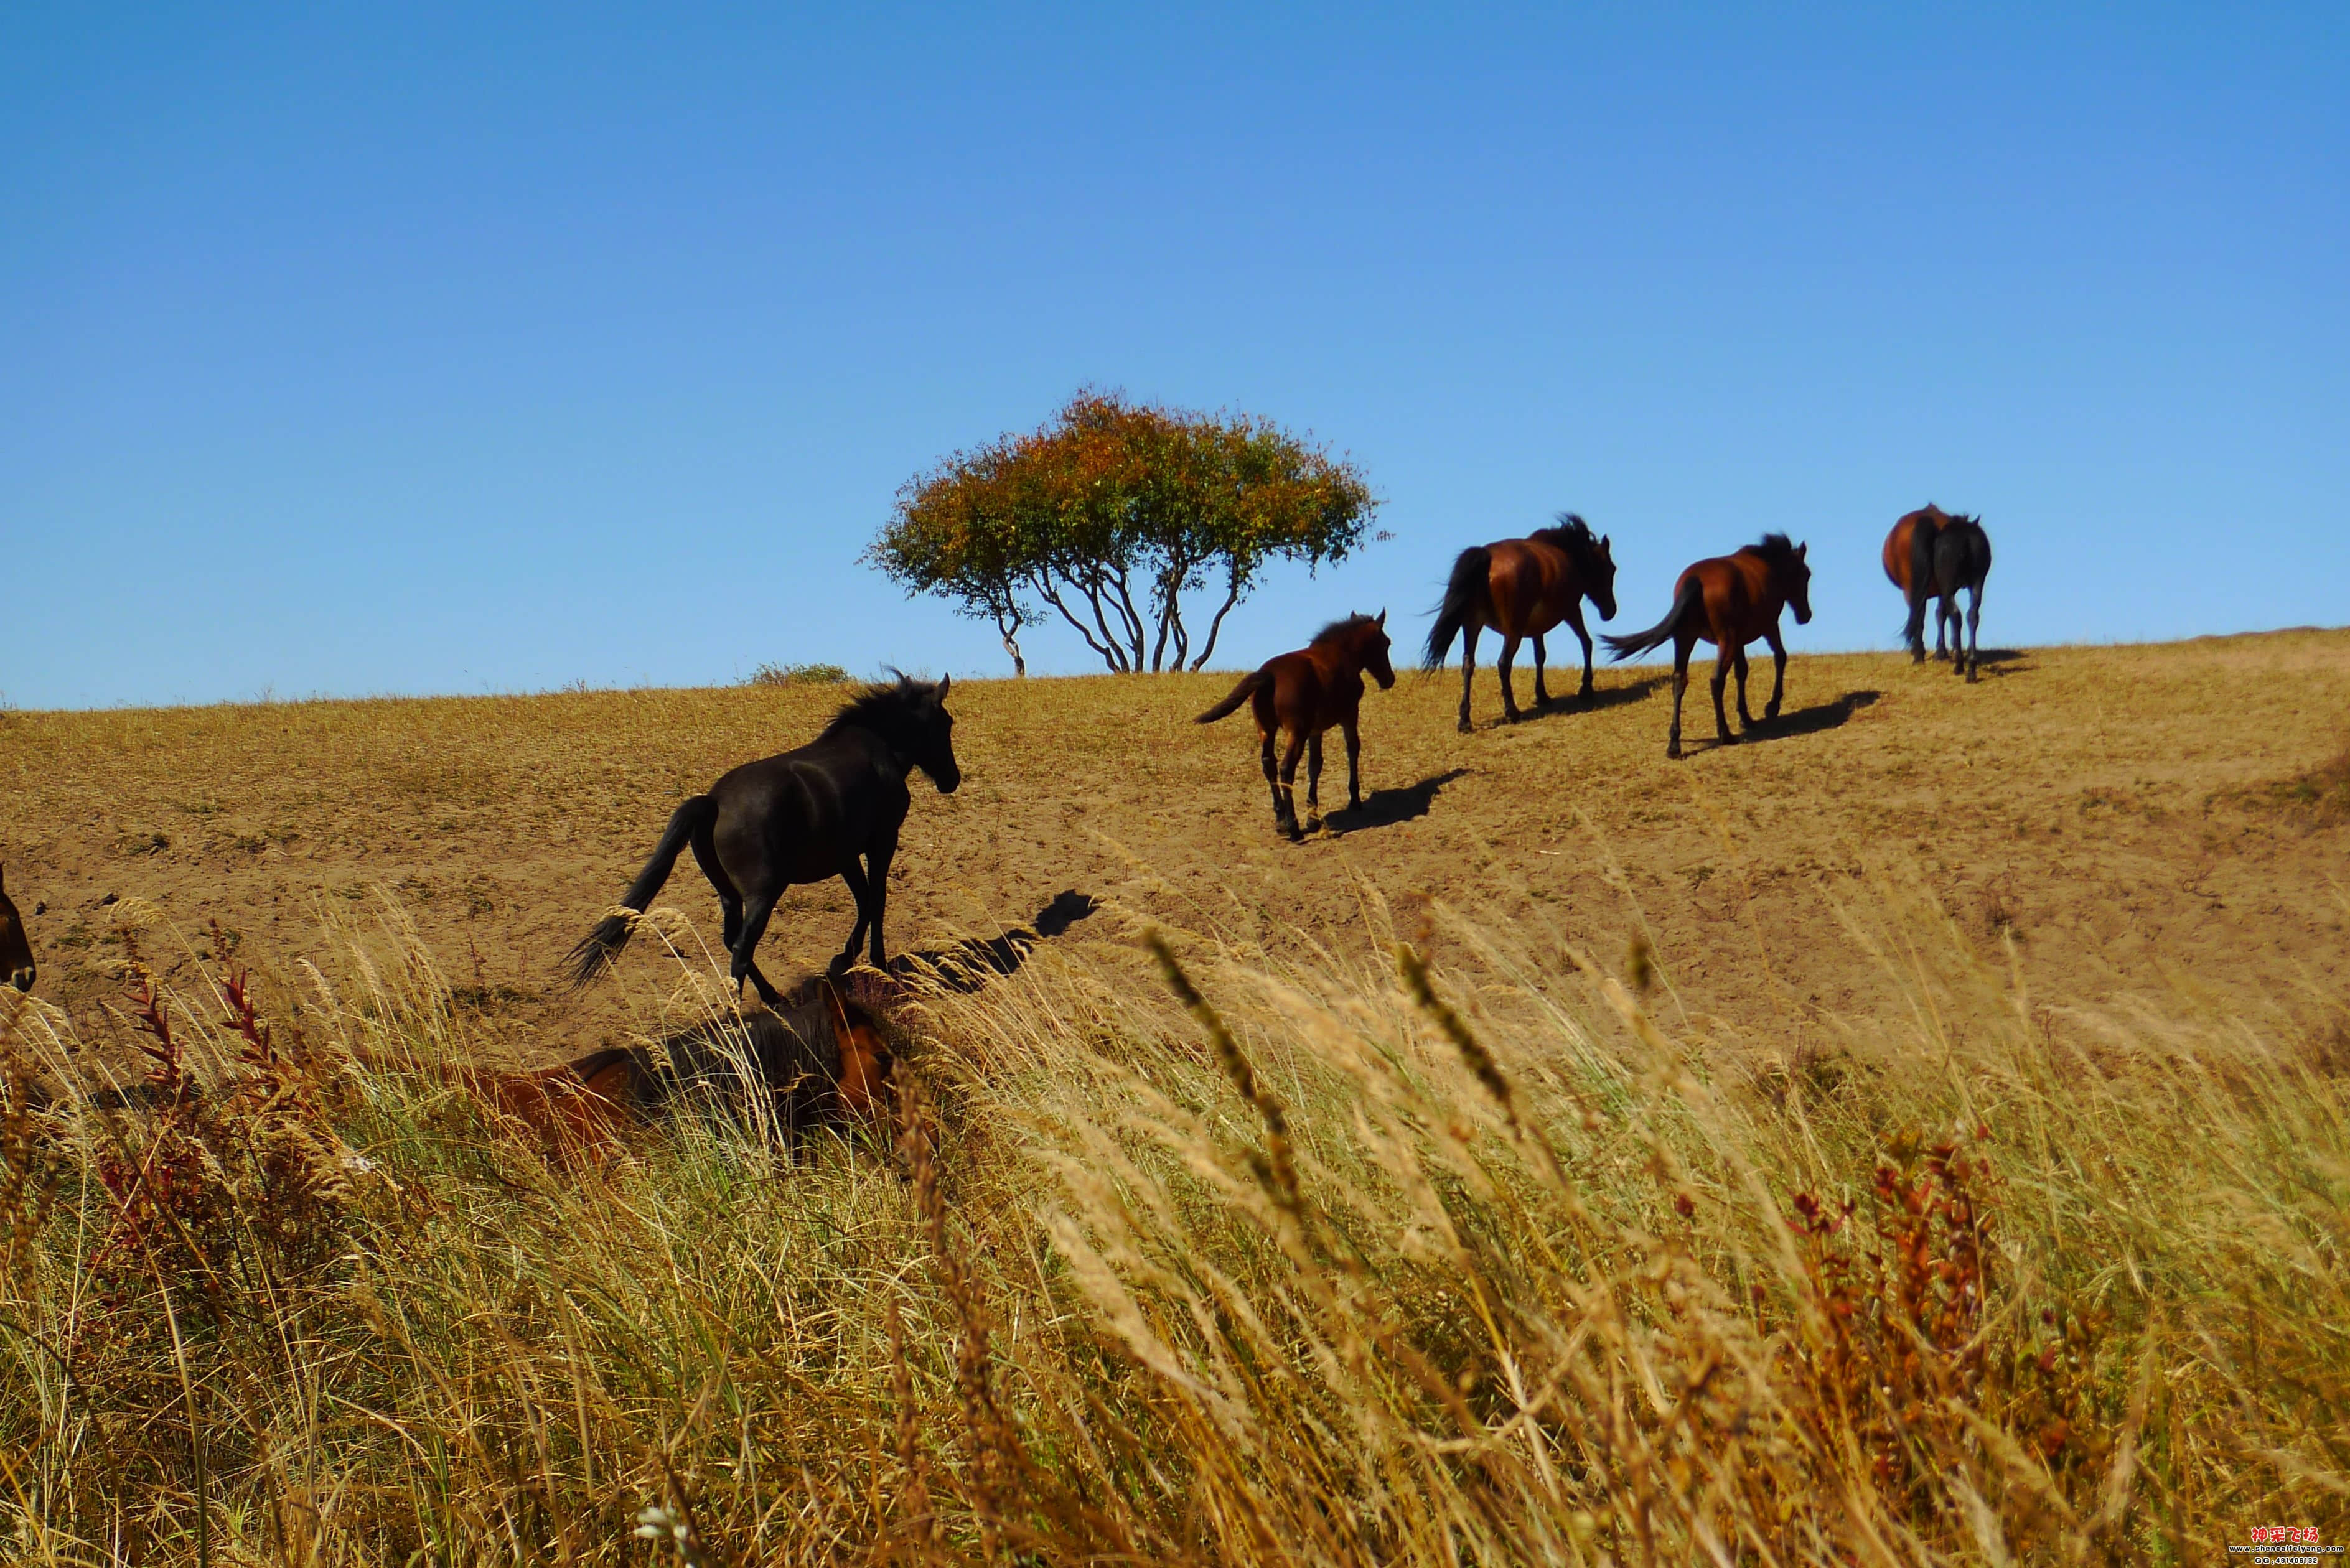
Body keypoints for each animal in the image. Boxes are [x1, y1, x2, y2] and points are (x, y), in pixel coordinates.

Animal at [567, 675, 961, 1004]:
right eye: (946, 724)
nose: (952, 779)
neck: (878, 749)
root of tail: (714, 802)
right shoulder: (882, 842)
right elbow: (877, 901)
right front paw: (879, 963)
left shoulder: (846, 855)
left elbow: (864, 902)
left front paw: (843, 959)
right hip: (764, 893)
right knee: (742, 949)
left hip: (729, 894)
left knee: (733, 942)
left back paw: (772, 997)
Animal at [1195, 612, 1396, 841]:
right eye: (1386, 643)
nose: (1389, 680)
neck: (1340, 654)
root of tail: (1269, 675)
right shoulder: (1350, 715)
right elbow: (1353, 749)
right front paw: (1354, 800)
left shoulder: (1315, 730)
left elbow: (1315, 765)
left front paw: (1313, 817)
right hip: (1296, 732)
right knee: (1286, 769)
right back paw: (1293, 827)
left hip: (1266, 730)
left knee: (1269, 765)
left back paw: (1281, 820)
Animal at [1423, 513, 1618, 731]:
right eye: (1612, 569)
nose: (1611, 611)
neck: (1568, 553)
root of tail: (1487, 557)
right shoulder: (1571, 611)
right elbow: (1586, 643)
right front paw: (1586, 688)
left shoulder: (1537, 627)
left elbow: (1540, 656)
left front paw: (1542, 695)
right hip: (1513, 631)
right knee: (1503, 663)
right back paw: (1512, 711)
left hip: (1473, 625)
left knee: (1468, 664)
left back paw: (1465, 720)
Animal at [1602, 534, 1813, 759]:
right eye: (1806, 575)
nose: (1806, 616)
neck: (1768, 565)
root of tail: (1696, 580)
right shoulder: (1769, 627)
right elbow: (1780, 657)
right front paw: (1772, 706)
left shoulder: (1739, 641)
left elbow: (1742, 672)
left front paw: (1746, 718)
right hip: (1725, 640)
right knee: (1716, 681)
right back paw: (1725, 733)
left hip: (1686, 639)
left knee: (1679, 680)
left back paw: (1674, 744)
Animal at [1884, 506, 1992, 680]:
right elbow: (1941, 614)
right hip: (1977, 582)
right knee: (1972, 615)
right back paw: (1971, 668)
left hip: (1939, 587)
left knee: (1949, 615)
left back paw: (1951, 663)